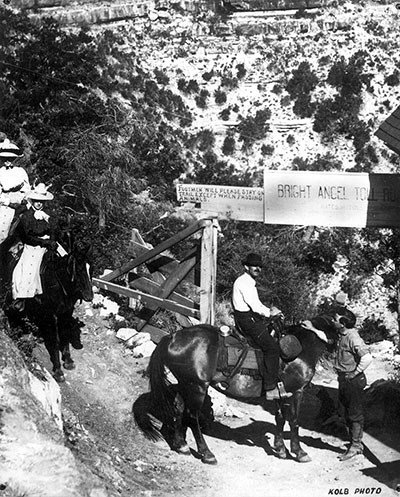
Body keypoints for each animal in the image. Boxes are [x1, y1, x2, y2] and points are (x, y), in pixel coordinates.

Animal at [4, 238, 93, 382]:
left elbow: (64, 335)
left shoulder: (66, 313)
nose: (89, 296)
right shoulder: (52, 315)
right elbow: (55, 340)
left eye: (91, 269)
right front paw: (58, 371)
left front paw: (68, 360)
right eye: (79, 269)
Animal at [134, 308, 356, 464]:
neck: (302, 348)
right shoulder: (296, 392)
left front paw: (280, 448)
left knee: (180, 410)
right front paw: (299, 452)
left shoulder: (280, 394)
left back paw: (181, 445)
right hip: (197, 387)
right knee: (192, 417)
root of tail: (171, 337)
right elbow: (293, 421)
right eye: (344, 319)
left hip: (185, 384)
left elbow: (280, 418)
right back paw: (207, 454)